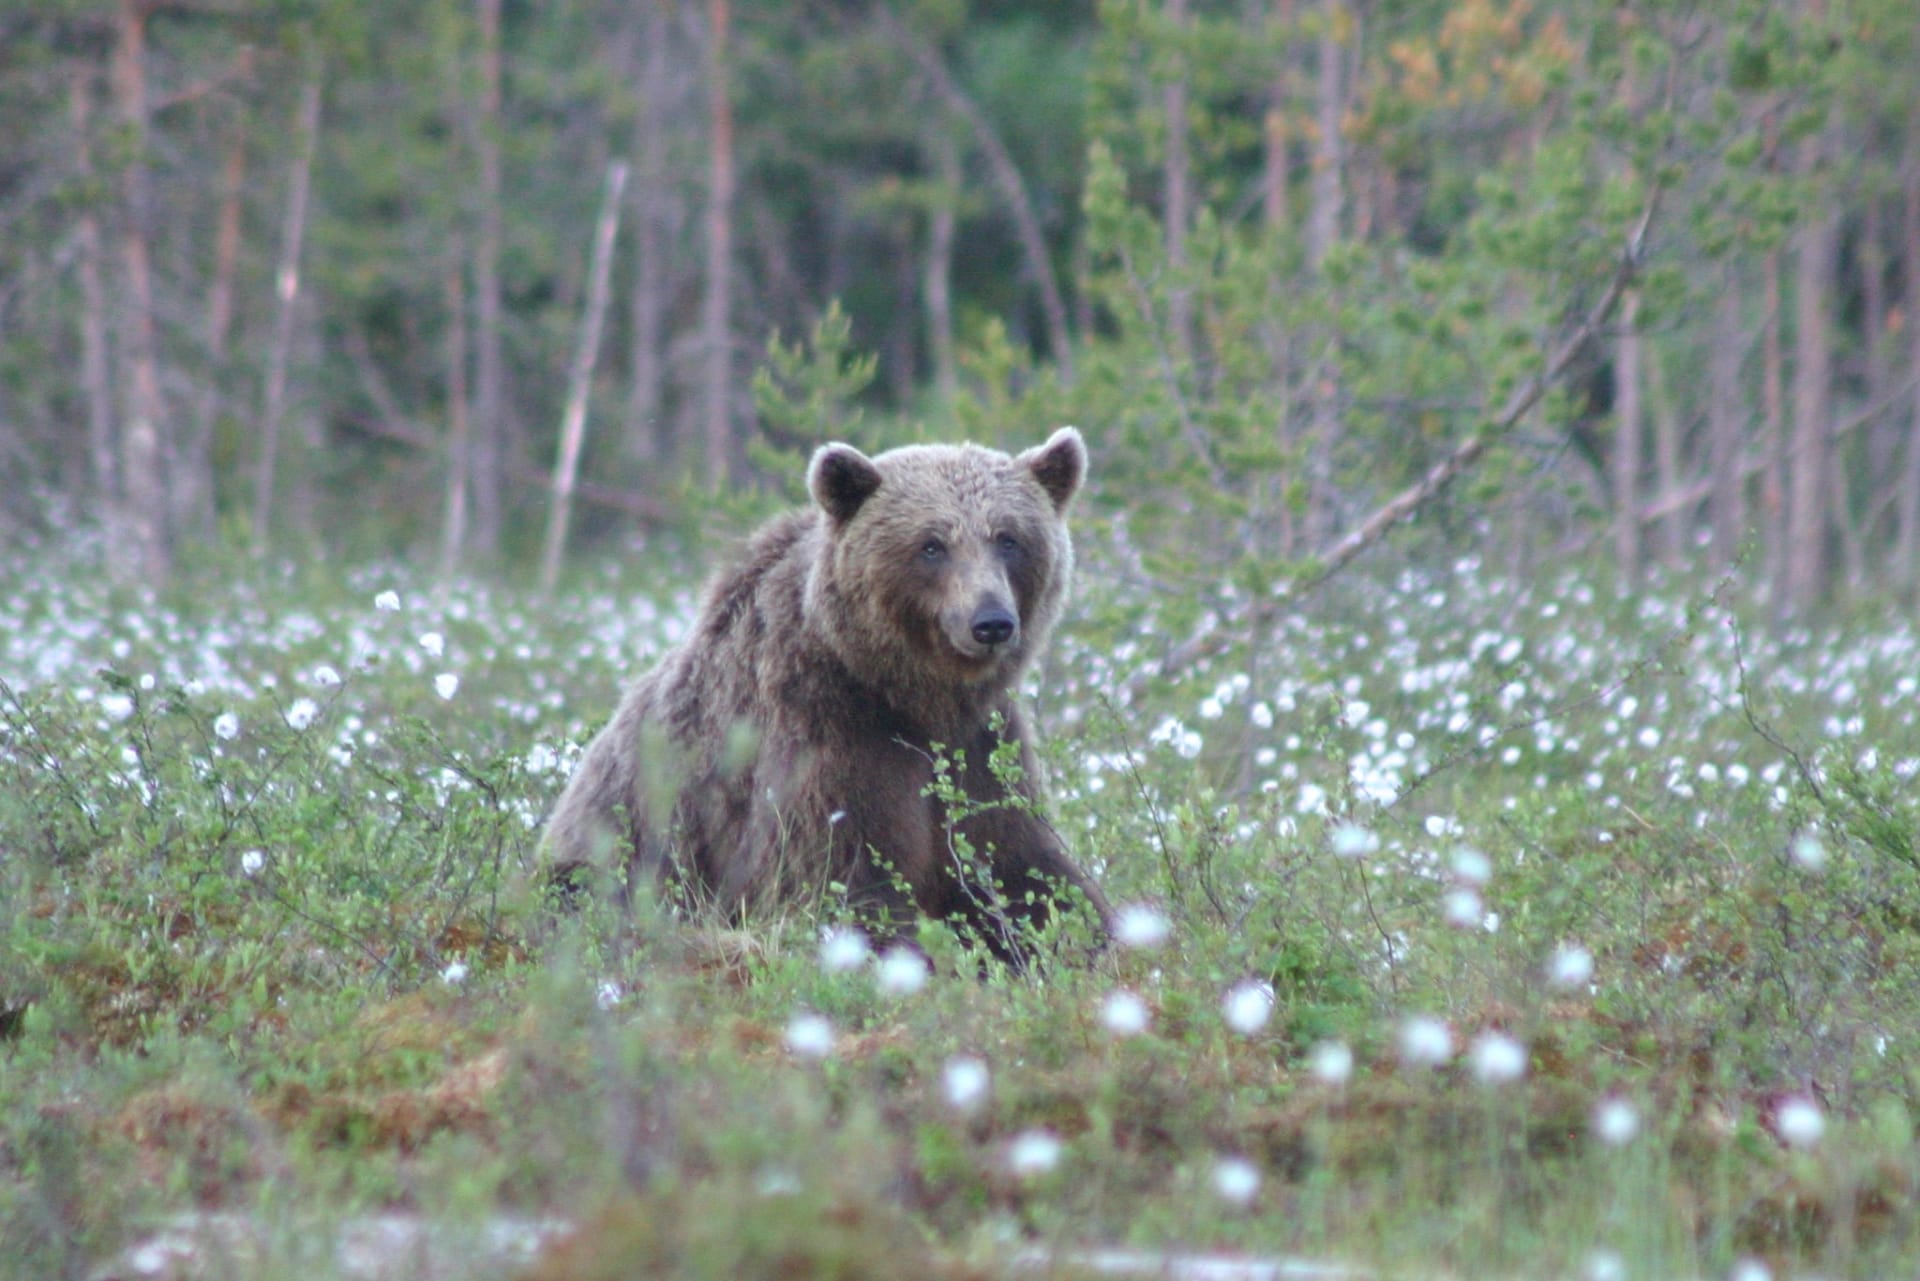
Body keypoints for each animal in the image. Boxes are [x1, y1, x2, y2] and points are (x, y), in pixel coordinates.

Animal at [542, 427, 1112, 962]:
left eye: (1008, 538)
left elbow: (1021, 863)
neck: (910, 695)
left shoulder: (978, 745)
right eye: (932, 544)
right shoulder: (825, 734)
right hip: (609, 851)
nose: (990, 621)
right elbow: (841, 875)